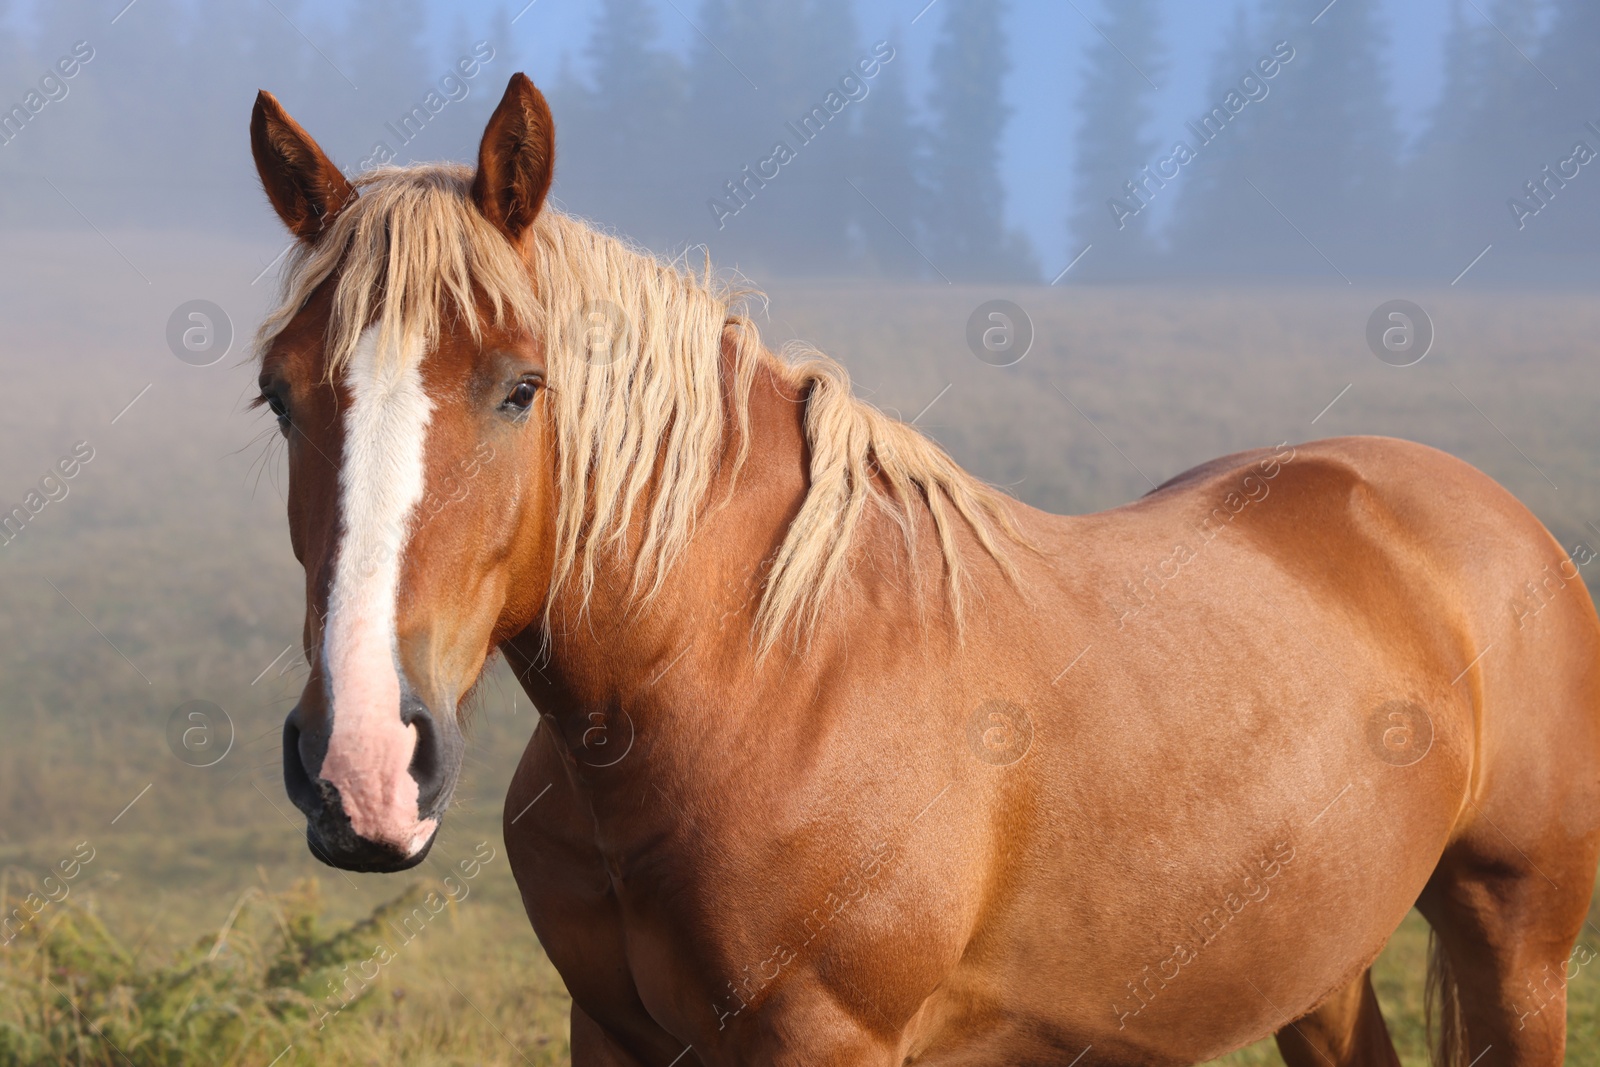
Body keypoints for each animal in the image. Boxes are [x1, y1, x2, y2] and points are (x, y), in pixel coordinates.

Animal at [246, 73, 1600, 1062]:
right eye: (277, 395)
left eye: (521, 387)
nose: (363, 764)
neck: (757, 672)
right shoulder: (612, 1034)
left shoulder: (829, 1039)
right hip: (1318, 966)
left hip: (1514, 944)